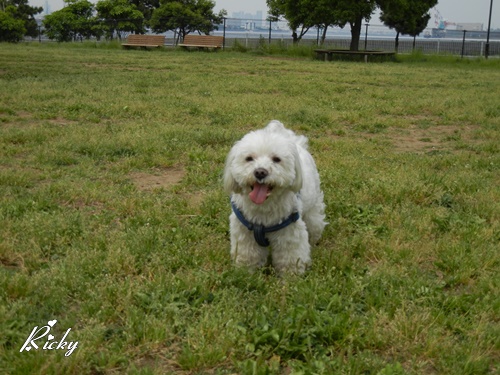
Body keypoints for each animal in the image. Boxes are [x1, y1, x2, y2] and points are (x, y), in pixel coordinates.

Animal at [224, 122, 326, 274]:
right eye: (249, 158)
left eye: (277, 159)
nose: (260, 172)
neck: (263, 207)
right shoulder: (244, 232)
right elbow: (247, 254)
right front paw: (245, 272)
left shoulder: (289, 233)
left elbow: (291, 257)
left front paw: (291, 276)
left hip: (313, 211)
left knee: (315, 225)